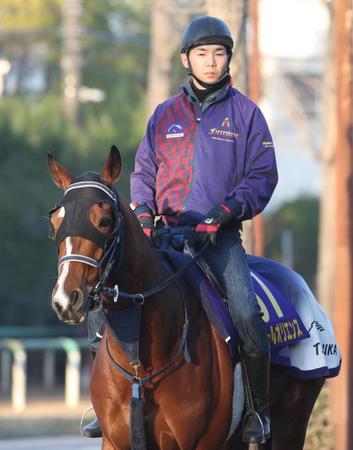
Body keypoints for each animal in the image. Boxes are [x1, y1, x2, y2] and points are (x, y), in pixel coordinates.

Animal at [47, 146, 324, 448]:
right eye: (55, 222)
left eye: (104, 220)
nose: (66, 299)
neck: (140, 366)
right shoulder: (115, 440)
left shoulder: (198, 443)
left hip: (292, 420)